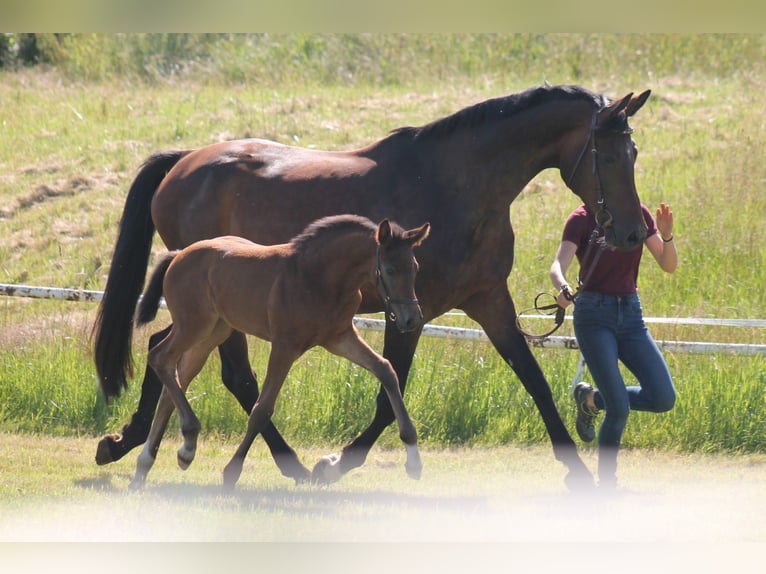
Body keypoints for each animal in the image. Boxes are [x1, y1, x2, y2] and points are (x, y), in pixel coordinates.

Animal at [132, 216, 432, 490]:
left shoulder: (339, 337)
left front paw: (414, 460)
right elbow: (262, 409)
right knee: (160, 358)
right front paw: (231, 472)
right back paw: (185, 442)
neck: (319, 277)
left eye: (415, 267)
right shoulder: (285, 346)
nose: (411, 320)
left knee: (173, 381)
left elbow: (386, 370)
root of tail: (178, 255)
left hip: (213, 332)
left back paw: (153, 463)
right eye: (390, 270)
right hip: (194, 326)